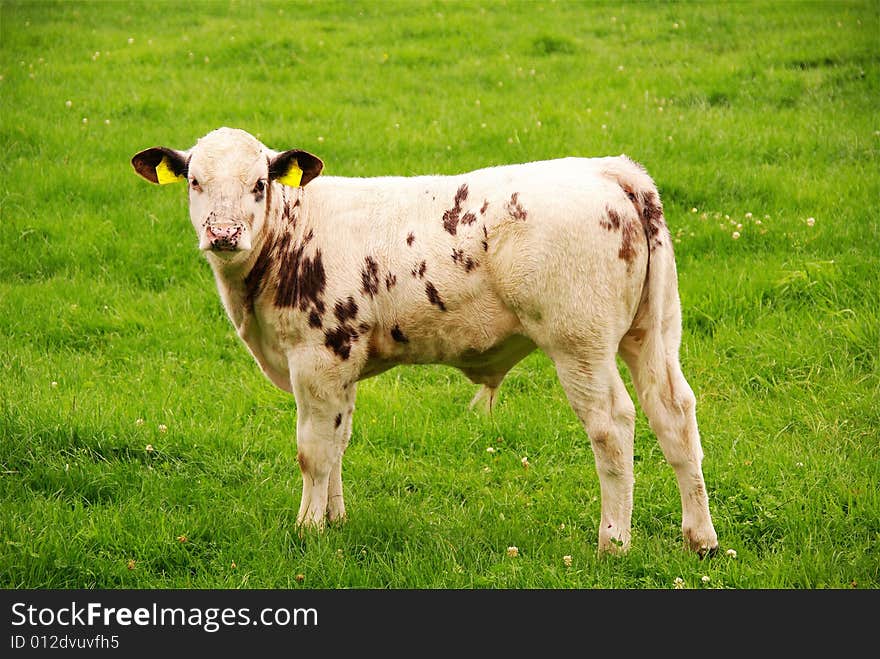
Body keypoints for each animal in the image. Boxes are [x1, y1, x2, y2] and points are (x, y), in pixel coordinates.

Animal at [132, 126, 720, 556]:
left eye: (260, 183)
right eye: (194, 182)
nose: (223, 234)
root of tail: (608, 168)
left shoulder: (317, 359)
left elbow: (313, 452)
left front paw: (308, 529)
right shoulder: (343, 364)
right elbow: (340, 441)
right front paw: (336, 519)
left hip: (581, 343)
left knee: (613, 425)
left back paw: (613, 542)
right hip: (654, 330)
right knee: (673, 412)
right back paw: (700, 538)